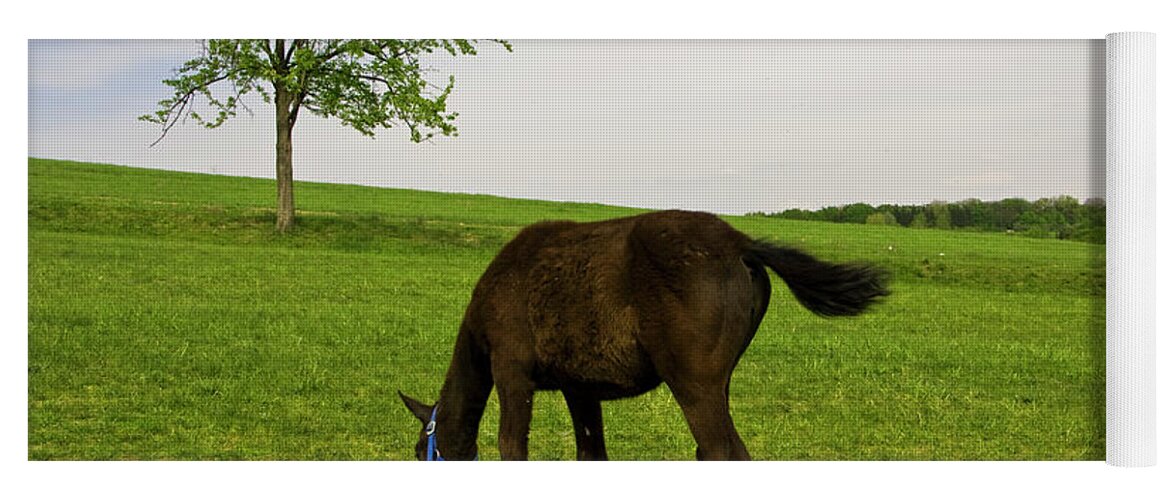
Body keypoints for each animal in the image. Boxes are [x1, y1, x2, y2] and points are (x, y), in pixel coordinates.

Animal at [400, 209, 885, 459]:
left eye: (421, 451)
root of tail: (740, 244)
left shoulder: (511, 371)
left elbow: (511, 446)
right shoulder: (580, 388)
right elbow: (591, 454)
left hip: (693, 381)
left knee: (723, 451)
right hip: (719, 380)